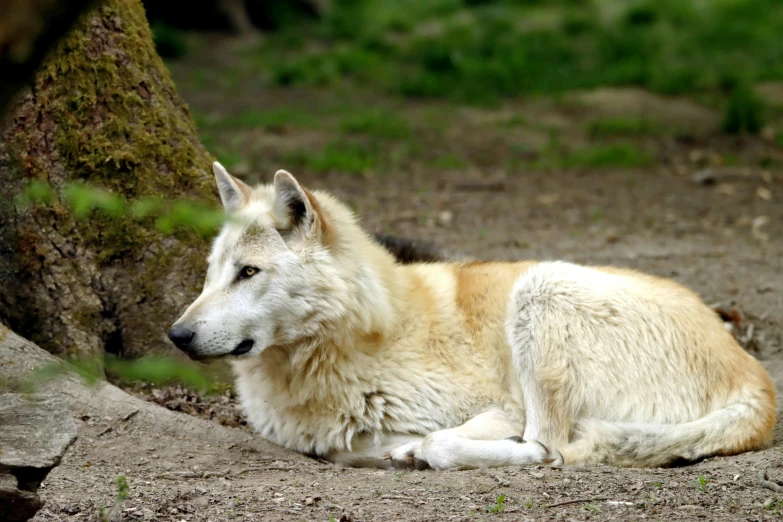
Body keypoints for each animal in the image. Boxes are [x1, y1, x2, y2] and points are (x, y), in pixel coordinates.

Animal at [168, 161, 776, 468]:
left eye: (248, 272)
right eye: (212, 272)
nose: (176, 334)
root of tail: (755, 378)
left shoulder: (502, 406)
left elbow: (445, 438)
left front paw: (419, 447)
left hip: (540, 290)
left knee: (549, 446)